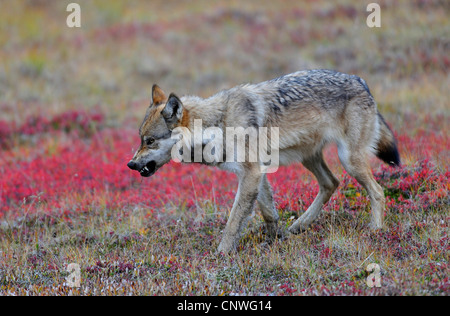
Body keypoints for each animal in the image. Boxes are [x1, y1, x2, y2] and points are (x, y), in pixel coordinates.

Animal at [126, 69, 400, 254]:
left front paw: (221, 254)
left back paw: (375, 231)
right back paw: (299, 225)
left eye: (150, 141)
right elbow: (268, 212)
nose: (130, 165)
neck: (218, 125)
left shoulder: (251, 173)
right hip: (309, 158)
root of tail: (362, 82)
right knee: (331, 183)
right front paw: (275, 240)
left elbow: (234, 221)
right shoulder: (257, 173)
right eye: (140, 139)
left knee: (377, 191)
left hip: (348, 160)